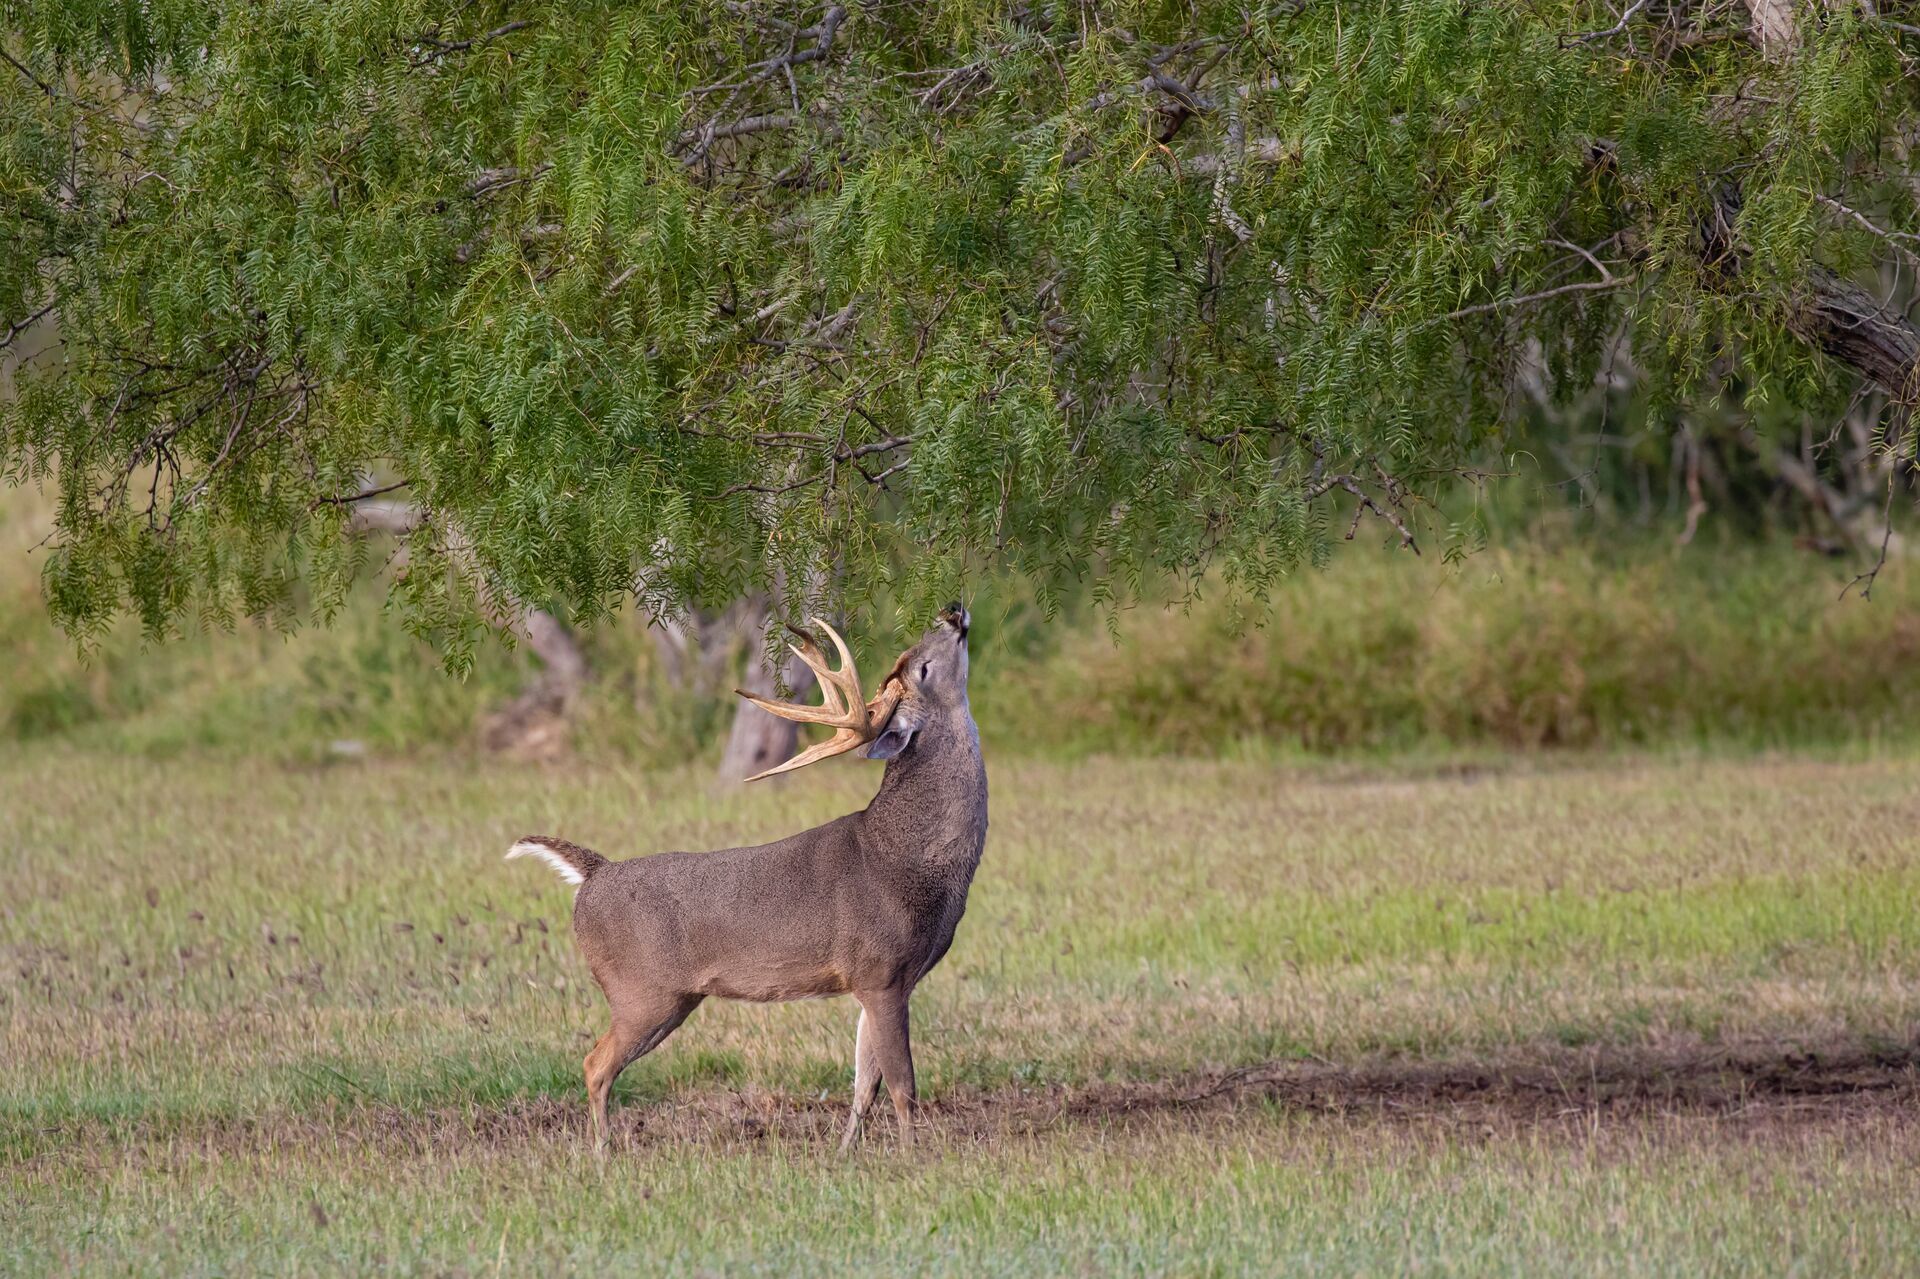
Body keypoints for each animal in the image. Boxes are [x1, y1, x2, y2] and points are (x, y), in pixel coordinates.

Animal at [506, 604, 986, 1151]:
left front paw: (846, 1153)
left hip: (668, 997)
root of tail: (593, 874)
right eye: (922, 668)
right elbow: (903, 1084)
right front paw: (911, 1156)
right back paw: (605, 1152)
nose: (952, 612)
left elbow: (865, 1083)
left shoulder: (883, 983)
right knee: (595, 1063)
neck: (911, 858)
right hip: (641, 991)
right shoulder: (881, 970)